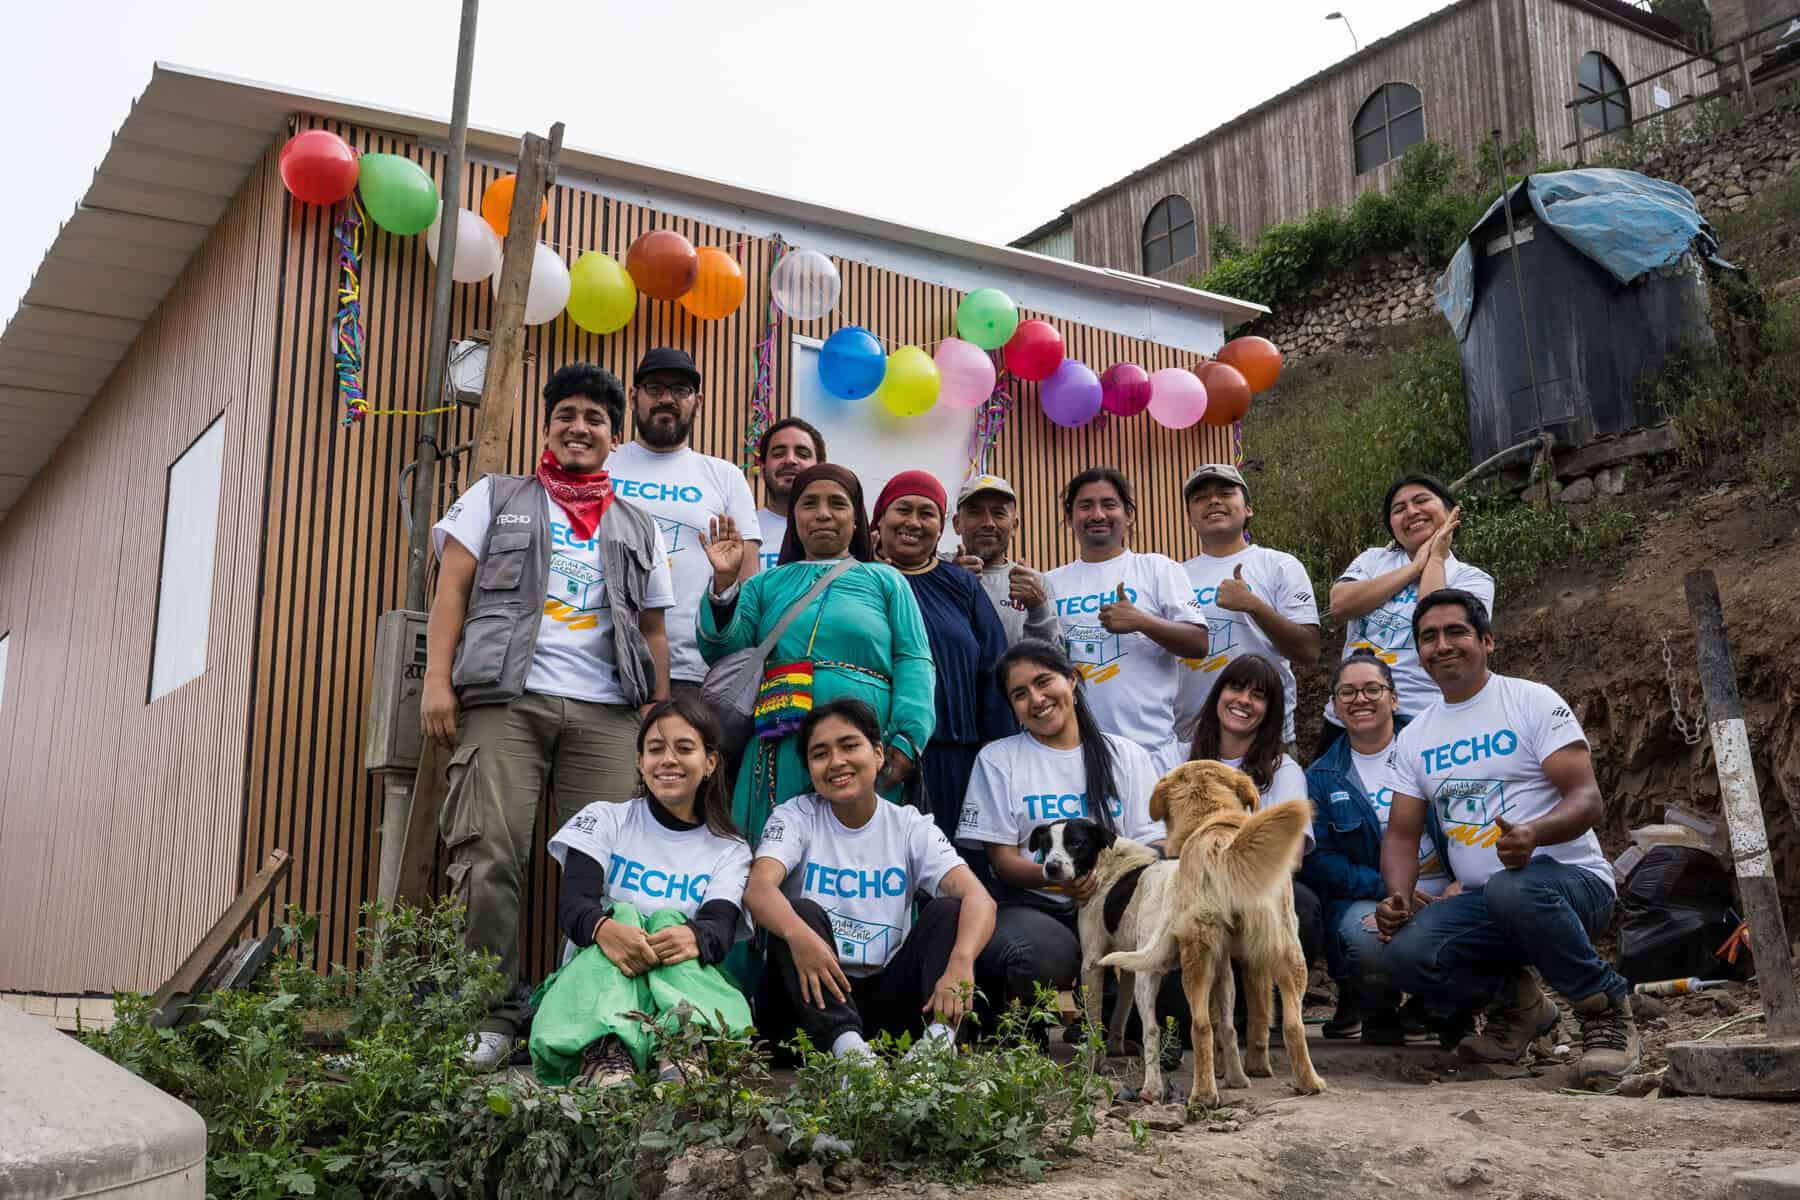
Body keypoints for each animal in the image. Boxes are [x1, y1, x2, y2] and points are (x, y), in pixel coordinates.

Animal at [1036, 820, 1188, 1101]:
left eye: (1076, 843)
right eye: (1046, 845)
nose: (1051, 867)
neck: (1109, 865)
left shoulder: (1093, 963)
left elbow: (1095, 1020)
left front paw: (1095, 1062)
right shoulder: (1129, 962)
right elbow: (1121, 1010)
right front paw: (1116, 1047)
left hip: (1148, 973)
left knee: (1152, 1029)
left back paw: (1152, 1088)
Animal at [1094, 759, 1324, 1108]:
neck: (1212, 818)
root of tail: (1222, 848)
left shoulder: (1217, 959)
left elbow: (1216, 1023)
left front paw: (1223, 1073)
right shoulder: (1236, 960)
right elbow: (1242, 1019)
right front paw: (1245, 1071)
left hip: (1198, 956)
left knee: (1200, 1025)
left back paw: (1203, 1093)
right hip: (1287, 950)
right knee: (1293, 1023)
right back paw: (1309, 1083)